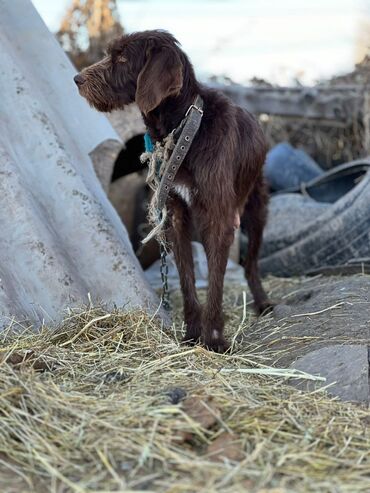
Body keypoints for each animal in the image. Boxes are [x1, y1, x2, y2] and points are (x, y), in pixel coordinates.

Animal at [74, 29, 272, 350]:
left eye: (122, 58)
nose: (77, 79)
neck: (186, 129)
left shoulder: (218, 219)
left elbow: (215, 283)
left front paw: (213, 338)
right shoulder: (175, 217)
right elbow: (187, 279)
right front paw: (192, 333)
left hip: (256, 210)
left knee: (251, 263)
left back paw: (263, 302)